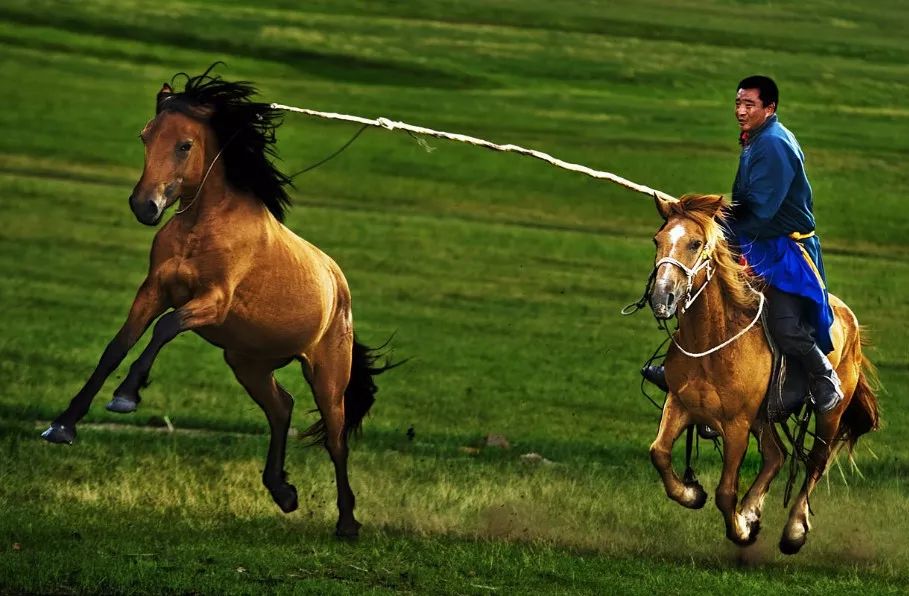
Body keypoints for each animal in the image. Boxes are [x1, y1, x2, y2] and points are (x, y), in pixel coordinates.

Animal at [40, 67, 390, 536]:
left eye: (184, 145)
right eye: (145, 136)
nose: (144, 206)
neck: (203, 228)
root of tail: (338, 285)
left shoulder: (212, 302)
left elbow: (165, 328)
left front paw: (127, 396)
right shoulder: (152, 292)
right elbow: (116, 347)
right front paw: (63, 425)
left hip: (327, 378)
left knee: (336, 441)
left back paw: (347, 523)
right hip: (249, 365)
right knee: (281, 408)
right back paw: (282, 491)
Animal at [640, 193, 876, 552]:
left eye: (695, 243)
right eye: (658, 240)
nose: (661, 297)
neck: (713, 340)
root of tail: (850, 319)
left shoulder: (736, 424)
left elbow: (726, 492)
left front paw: (739, 529)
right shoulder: (679, 404)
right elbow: (659, 453)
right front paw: (692, 494)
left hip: (829, 414)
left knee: (816, 462)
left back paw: (793, 530)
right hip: (762, 416)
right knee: (776, 455)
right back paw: (752, 510)